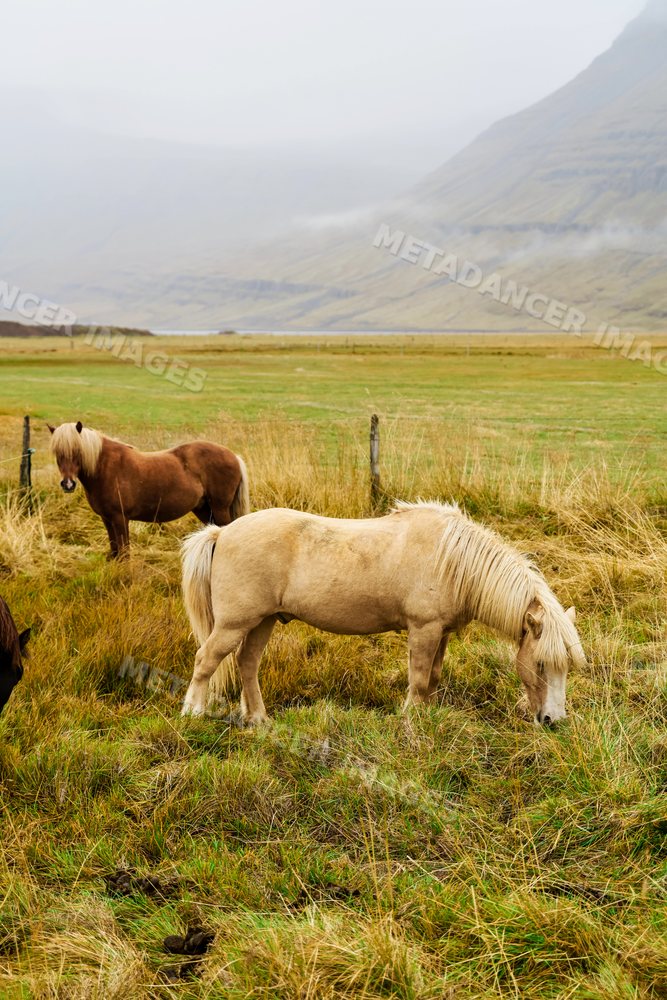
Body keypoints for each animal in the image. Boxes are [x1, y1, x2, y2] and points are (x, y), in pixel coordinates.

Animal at [48, 421, 250, 558]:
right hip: (203, 509)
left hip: (219, 508)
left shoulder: (120, 518)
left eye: (77, 451)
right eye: (57, 453)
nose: (68, 484)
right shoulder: (107, 519)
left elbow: (124, 552)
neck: (105, 468)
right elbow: (115, 550)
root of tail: (234, 456)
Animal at [179, 500, 586, 726]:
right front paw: (410, 720)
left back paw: (258, 719)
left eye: (566, 666)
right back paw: (193, 714)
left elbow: (433, 678)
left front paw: (426, 716)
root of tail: (222, 533)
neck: (454, 560)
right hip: (234, 623)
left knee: (247, 664)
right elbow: (418, 680)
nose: (553, 721)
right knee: (206, 660)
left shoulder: (441, 633)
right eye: (540, 664)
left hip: (262, 621)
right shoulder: (423, 629)